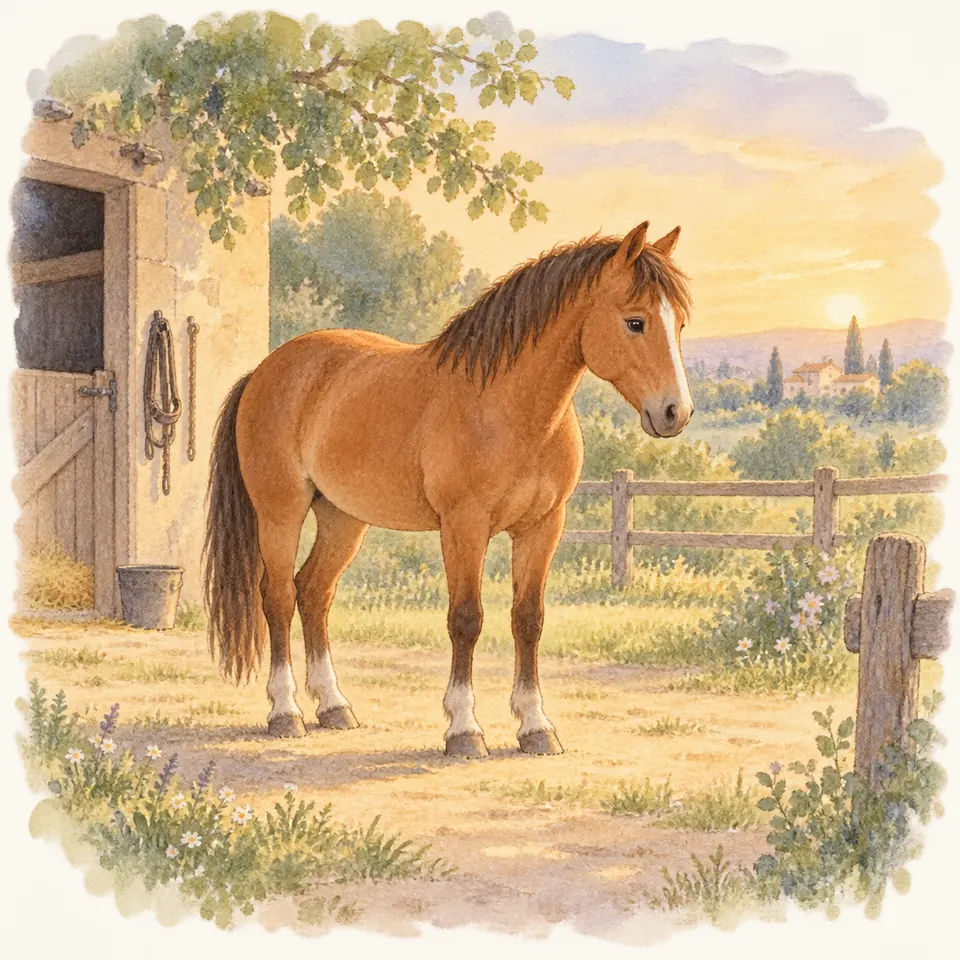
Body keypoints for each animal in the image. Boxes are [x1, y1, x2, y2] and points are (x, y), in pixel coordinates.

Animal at [203, 220, 693, 757]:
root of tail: (265, 371)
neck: (509, 410)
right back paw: (285, 712)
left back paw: (334, 707)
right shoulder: (464, 526)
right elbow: (466, 619)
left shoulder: (543, 527)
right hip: (281, 511)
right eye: (635, 322)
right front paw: (464, 729)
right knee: (278, 597)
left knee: (314, 591)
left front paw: (535, 727)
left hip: (342, 517)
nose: (675, 412)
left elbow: (529, 619)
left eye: (679, 323)